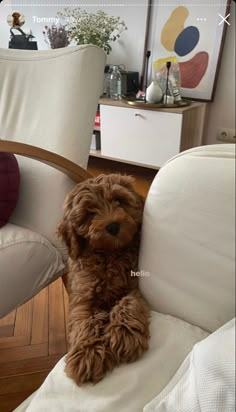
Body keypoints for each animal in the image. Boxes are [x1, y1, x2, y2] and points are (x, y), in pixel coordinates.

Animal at [57, 174, 149, 386]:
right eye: (89, 213)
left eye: (119, 201)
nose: (113, 226)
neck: (110, 255)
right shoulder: (83, 296)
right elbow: (85, 321)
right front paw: (87, 354)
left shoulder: (133, 286)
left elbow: (128, 302)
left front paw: (124, 335)